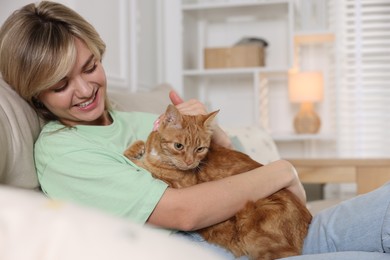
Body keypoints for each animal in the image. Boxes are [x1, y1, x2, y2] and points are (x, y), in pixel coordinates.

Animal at [125, 104, 310, 258]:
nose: (190, 162)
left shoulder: (181, 186)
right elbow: (138, 148)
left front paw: (141, 160)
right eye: (179, 146)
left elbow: (152, 169)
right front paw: (135, 150)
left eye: (200, 149)